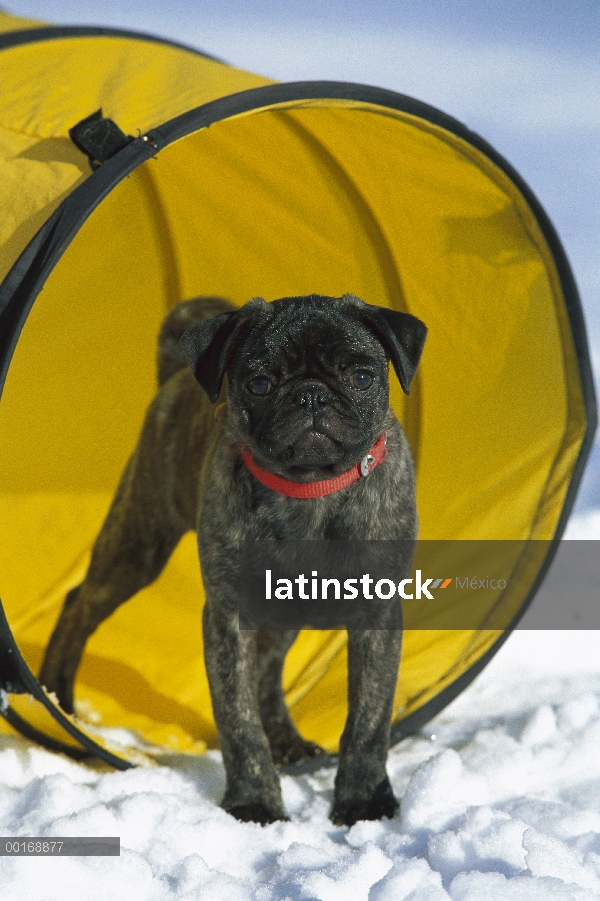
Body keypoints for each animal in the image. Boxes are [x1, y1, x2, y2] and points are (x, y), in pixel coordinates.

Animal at [38, 292, 426, 828]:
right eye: (259, 383)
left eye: (362, 377)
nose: (310, 395)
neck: (309, 489)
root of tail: (175, 374)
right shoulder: (227, 620)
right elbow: (238, 721)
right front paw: (255, 803)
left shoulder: (376, 615)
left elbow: (368, 718)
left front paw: (364, 800)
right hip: (137, 546)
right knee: (78, 604)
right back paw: (57, 698)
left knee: (268, 669)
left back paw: (287, 742)